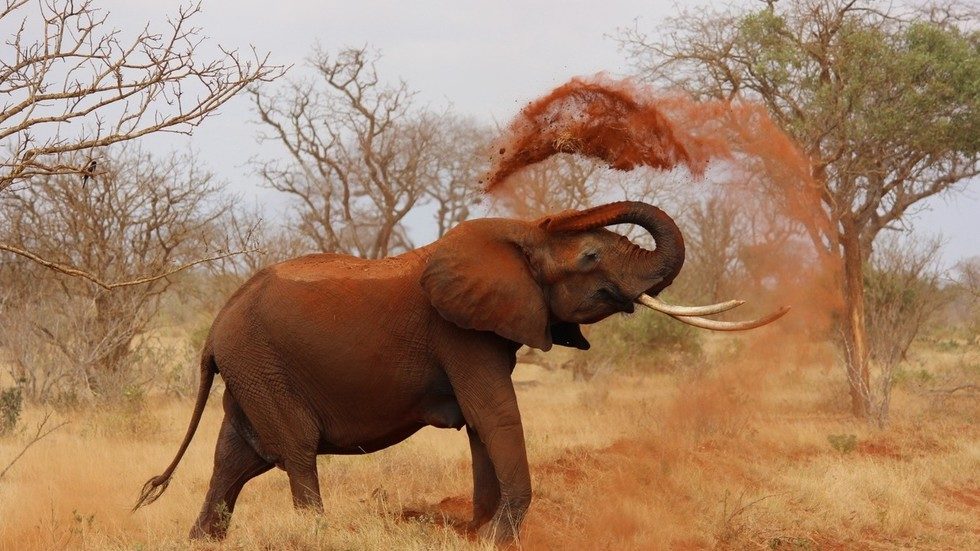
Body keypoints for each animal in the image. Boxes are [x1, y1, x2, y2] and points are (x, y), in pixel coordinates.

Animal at [133, 201, 783, 543]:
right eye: (592, 256)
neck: (519, 237)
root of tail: (215, 326)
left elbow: (480, 425)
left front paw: (478, 534)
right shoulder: (460, 333)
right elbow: (494, 415)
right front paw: (499, 538)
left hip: (250, 369)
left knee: (235, 460)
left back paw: (200, 543)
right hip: (262, 364)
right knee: (293, 452)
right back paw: (316, 535)